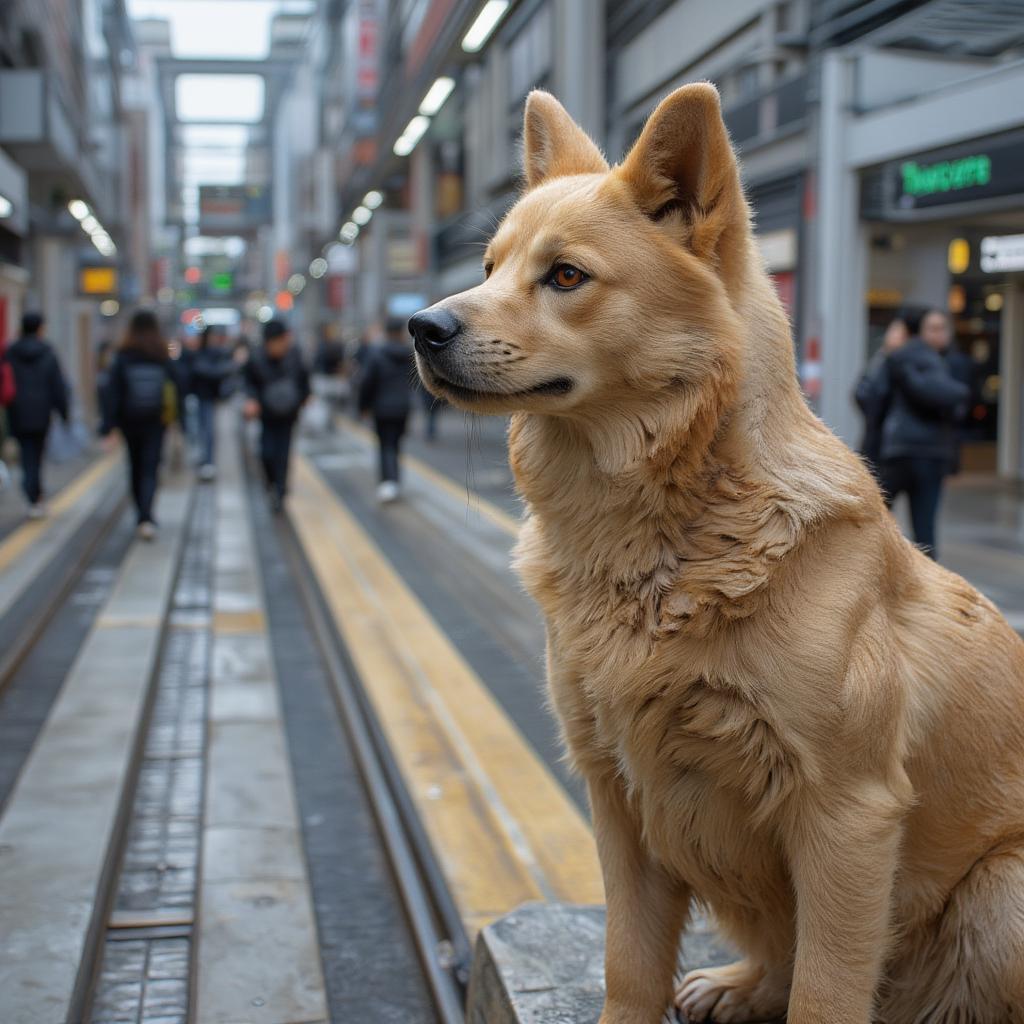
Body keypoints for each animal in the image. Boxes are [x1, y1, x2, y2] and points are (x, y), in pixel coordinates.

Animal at [409, 83, 1024, 1019]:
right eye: (488, 268)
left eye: (565, 276)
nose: (418, 327)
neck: (671, 536)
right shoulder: (618, 790)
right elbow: (628, 963)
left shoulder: (849, 814)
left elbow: (826, 990)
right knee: (775, 957)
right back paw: (738, 985)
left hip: (999, 893)